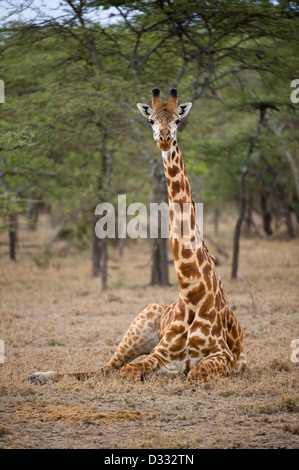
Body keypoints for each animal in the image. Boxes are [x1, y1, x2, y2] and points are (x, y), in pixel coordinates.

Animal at [27, 88, 248, 386]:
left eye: (178, 120)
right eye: (151, 120)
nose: (164, 139)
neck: (192, 291)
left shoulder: (224, 356)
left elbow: (194, 372)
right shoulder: (162, 354)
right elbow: (129, 371)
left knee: (107, 370)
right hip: (138, 326)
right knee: (106, 368)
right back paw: (37, 375)